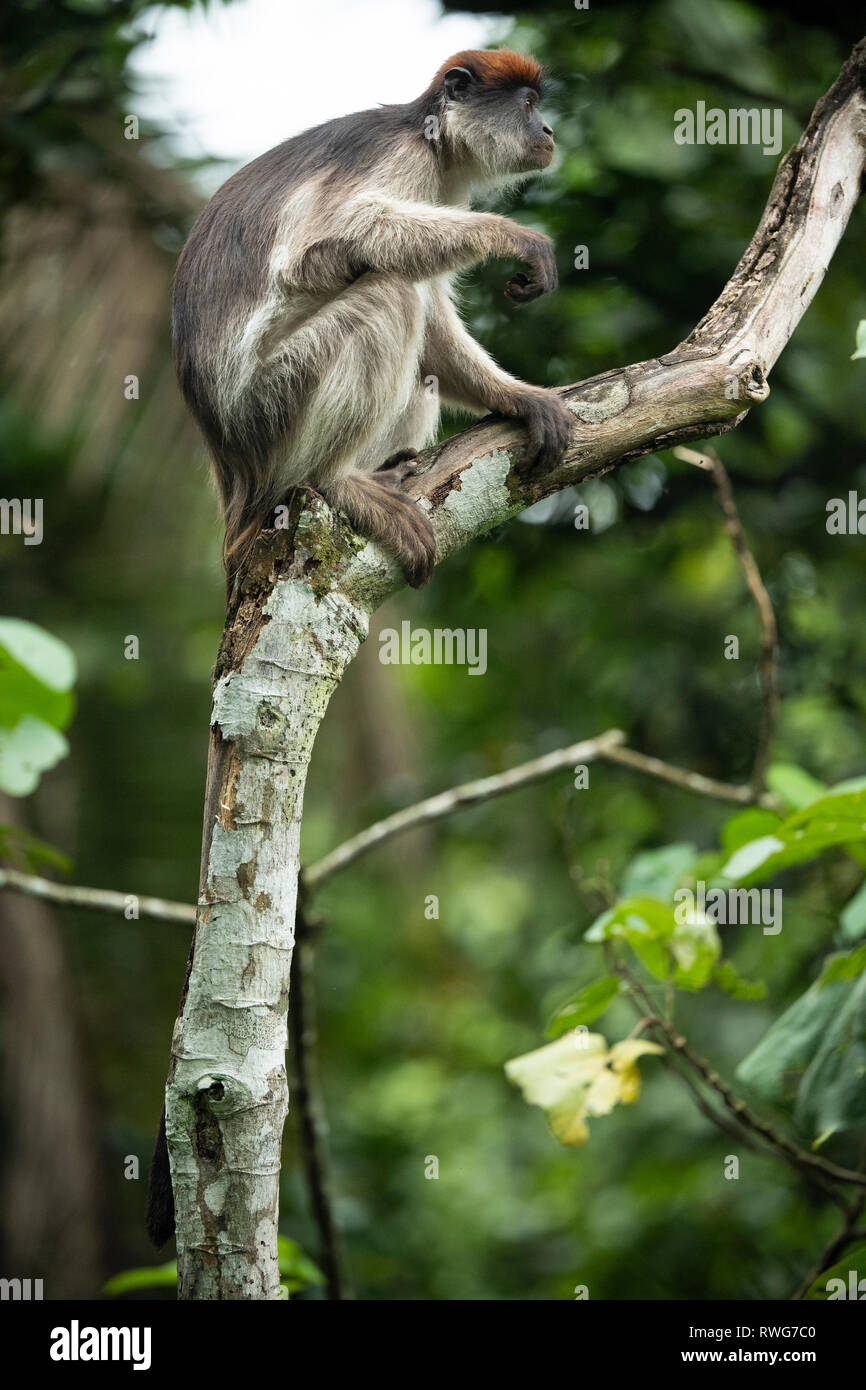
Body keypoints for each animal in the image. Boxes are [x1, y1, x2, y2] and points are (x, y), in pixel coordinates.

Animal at [173, 47, 572, 592]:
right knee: (392, 292)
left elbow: (435, 332)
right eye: (528, 104)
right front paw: (511, 235)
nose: (548, 129)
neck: (433, 138)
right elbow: (315, 249)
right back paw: (335, 481)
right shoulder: (404, 157)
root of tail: (235, 476)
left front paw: (521, 398)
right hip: (268, 409)